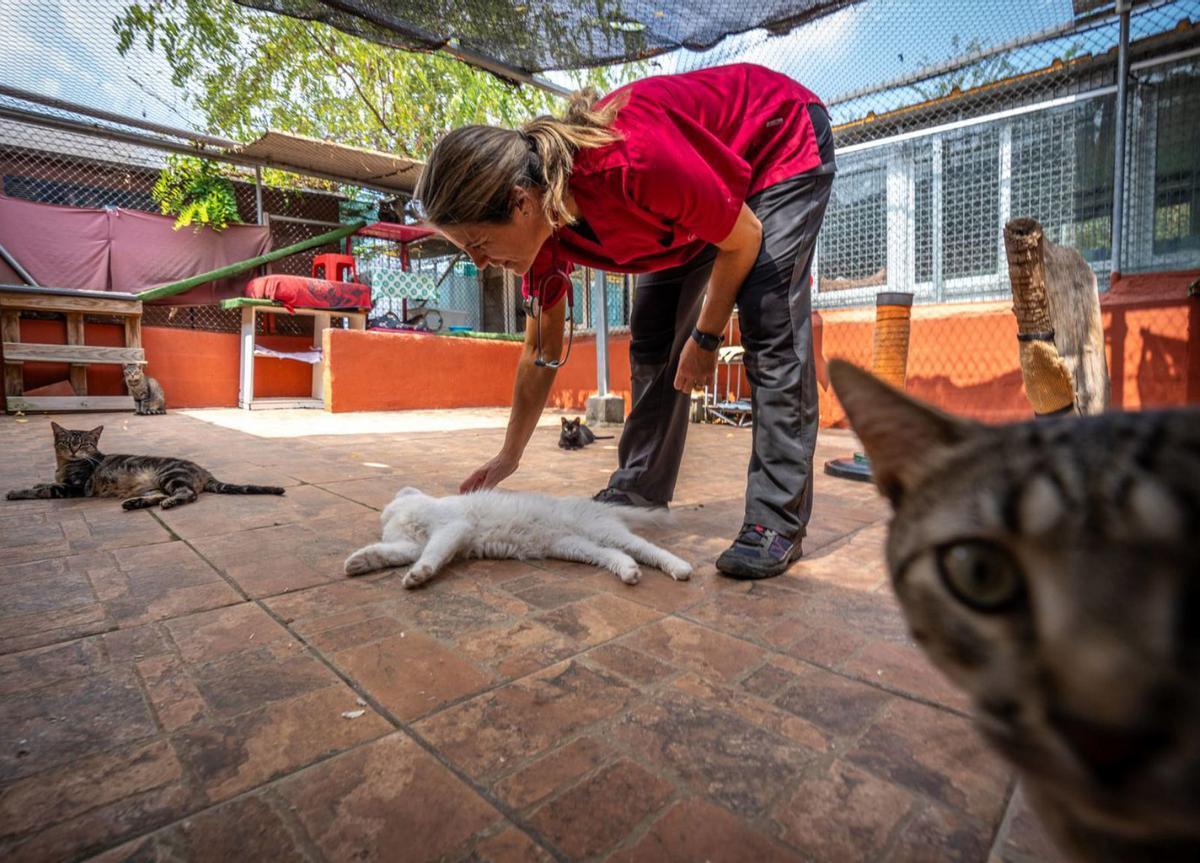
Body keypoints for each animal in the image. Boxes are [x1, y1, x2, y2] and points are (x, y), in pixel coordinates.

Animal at [6, 422, 285, 508]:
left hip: (170, 476)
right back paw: (134, 503)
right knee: (160, 495)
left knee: (188, 494)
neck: (65, 465)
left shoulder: (73, 488)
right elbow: (45, 482)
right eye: (66, 442)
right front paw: (38, 481)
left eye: (85, 443)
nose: (75, 450)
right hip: (153, 485)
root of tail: (204, 471)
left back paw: (170, 502)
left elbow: (43, 490)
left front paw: (16, 491)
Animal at [343, 484, 691, 588]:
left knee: (646, 549)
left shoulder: (452, 528)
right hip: (577, 547)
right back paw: (629, 572)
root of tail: (599, 506)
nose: (382, 517)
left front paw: (419, 574)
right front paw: (360, 561)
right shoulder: (409, 546)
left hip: (605, 532)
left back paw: (680, 568)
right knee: (619, 556)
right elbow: (387, 553)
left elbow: (432, 553)